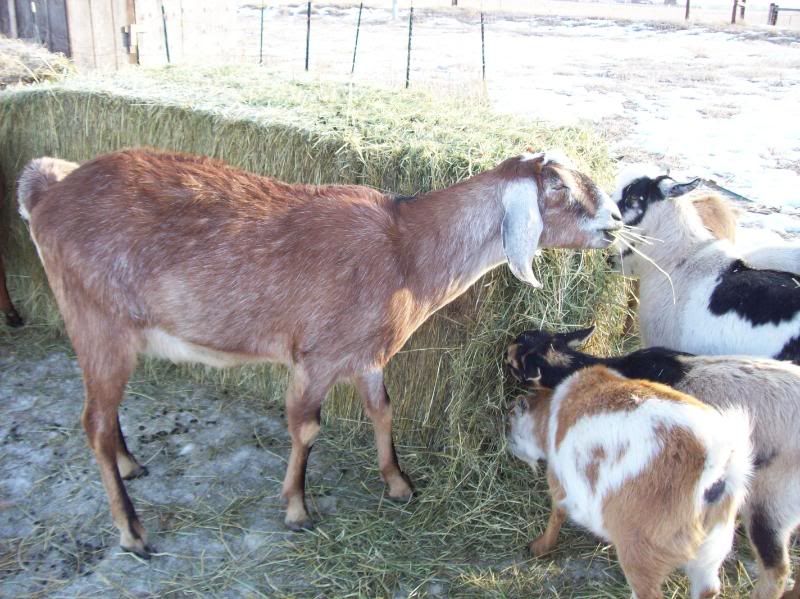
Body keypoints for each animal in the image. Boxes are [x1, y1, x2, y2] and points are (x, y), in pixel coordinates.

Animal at [17, 148, 622, 558]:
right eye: (559, 187)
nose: (617, 223)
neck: (405, 251)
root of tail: (47, 194)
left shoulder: (365, 356)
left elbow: (383, 409)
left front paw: (399, 485)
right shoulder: (317, 357)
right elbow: (306, 427)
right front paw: (296, 509)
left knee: (105, 413)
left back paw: (131, 463)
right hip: (97, 321)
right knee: (93, 423)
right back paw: (132, 531)